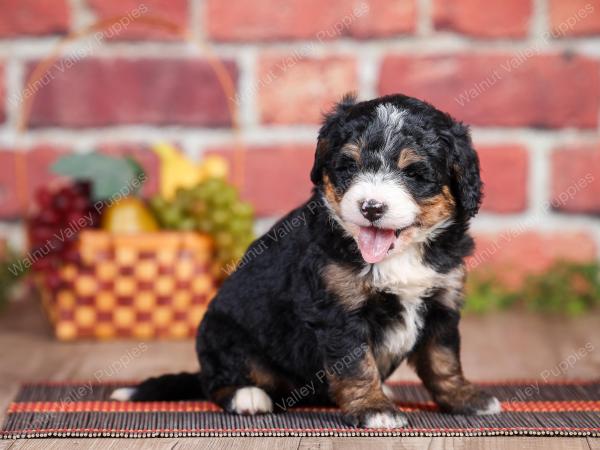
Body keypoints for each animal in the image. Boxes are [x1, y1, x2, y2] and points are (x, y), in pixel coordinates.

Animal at [112, 93, 502, 428]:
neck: (400, 255)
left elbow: (443, 359)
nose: (371, 207)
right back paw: (247, 397)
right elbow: (357, 365)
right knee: (217, 383)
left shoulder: (442, 301)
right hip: (223, 334)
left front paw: (466, 399)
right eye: (349, 166)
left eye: (414, 173)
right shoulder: (339, 310)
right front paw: (374, 408)